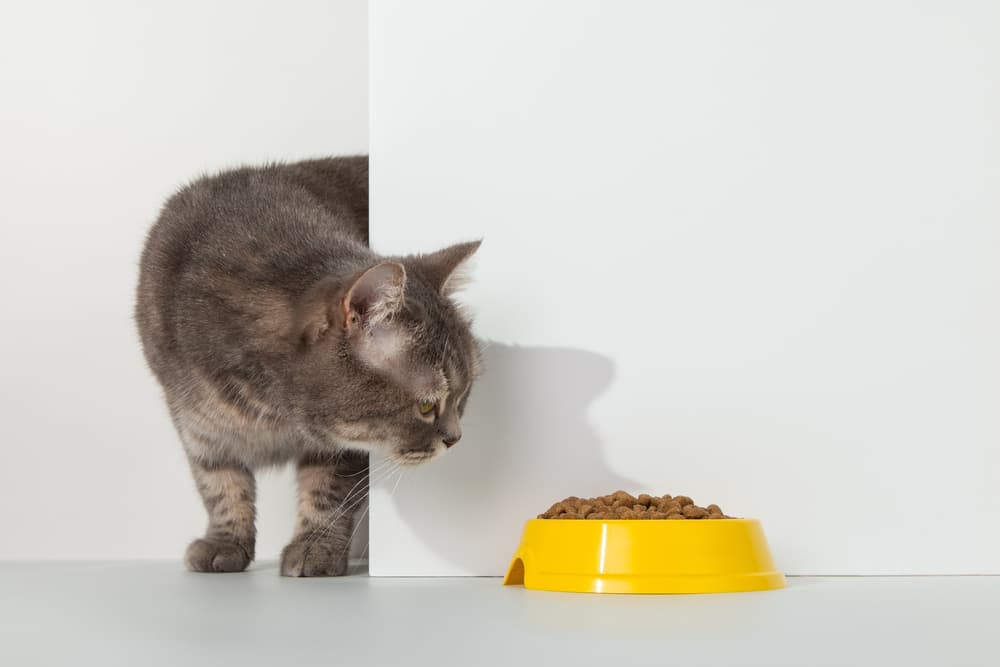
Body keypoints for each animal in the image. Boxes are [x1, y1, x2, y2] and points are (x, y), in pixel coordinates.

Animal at [136, 155, 480, 576]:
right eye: (427, 406)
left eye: (463, 396)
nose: (455, 438)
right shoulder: (196, 422)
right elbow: (219, 482)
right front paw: (225, 541)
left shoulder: (342, 449)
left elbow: (327, 491)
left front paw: (315, 548)